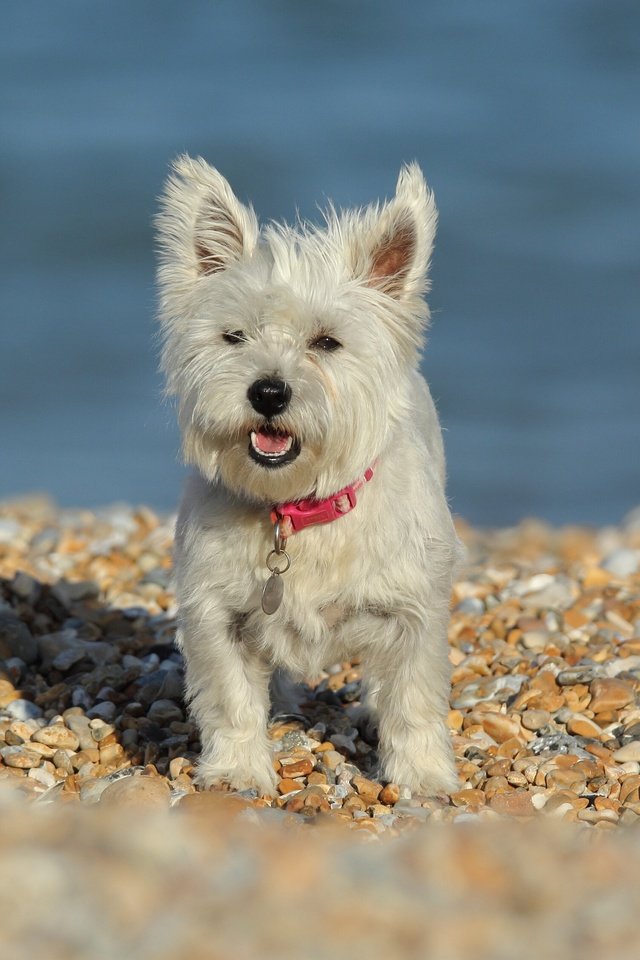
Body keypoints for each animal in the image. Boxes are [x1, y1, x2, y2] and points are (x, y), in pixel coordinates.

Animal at [158, 158, 462, 796]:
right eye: (234, 336)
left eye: (327, 341)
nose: (269, 392)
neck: (297, 510)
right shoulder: (217, 613)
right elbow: (232, 699)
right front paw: (237, 771)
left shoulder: (411, 612)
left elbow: (412, 700)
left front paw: (423, 778)